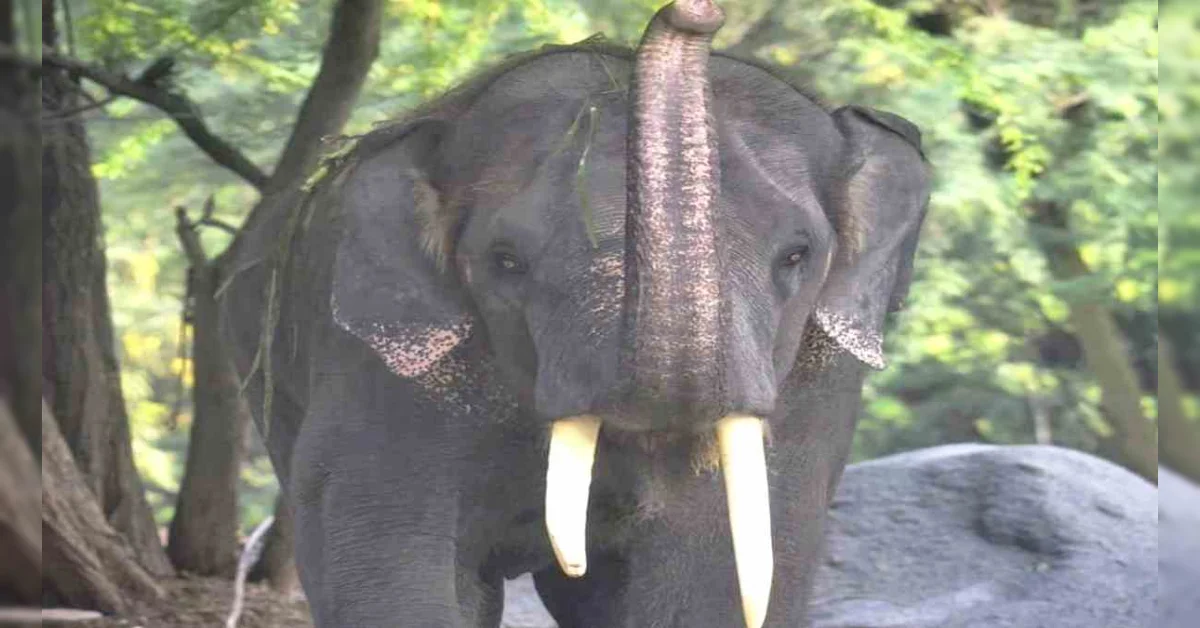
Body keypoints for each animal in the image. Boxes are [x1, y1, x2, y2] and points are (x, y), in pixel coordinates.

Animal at [220, 1, 931, 626]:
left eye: (796, 255)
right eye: (506, 260)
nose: (696, 11)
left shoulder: (817, 379)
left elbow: (719, 569)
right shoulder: (379, 368)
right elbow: (389, 557)